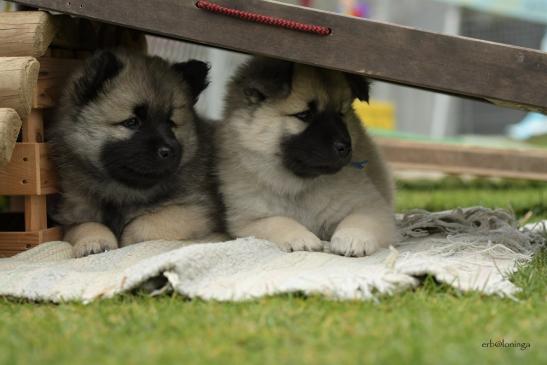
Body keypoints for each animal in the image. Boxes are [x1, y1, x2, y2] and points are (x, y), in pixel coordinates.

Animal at [49, 50, 224, 256]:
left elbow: (142, 224)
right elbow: (87, 226)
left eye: (170, 123)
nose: (167, 151)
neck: (123, 191)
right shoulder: (74, 214)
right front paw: (93, 243)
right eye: (132, 122)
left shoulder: (196, 209)